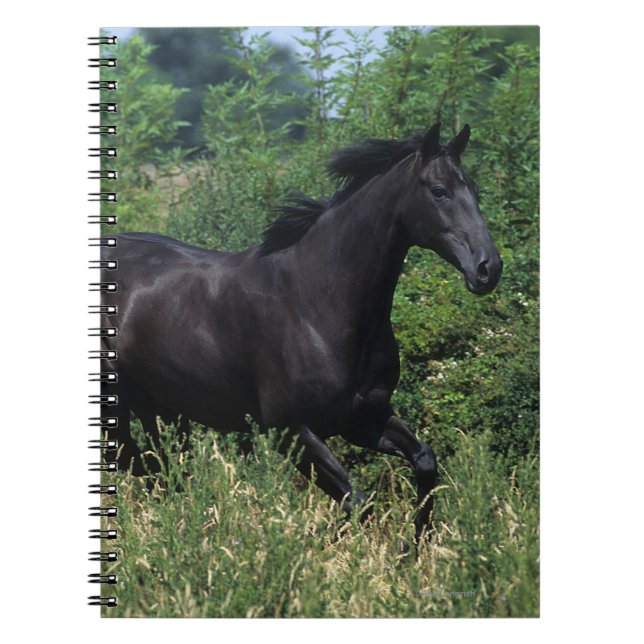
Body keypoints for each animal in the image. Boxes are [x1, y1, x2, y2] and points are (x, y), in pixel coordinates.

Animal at [100, 122, 502, 542]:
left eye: (474, 188)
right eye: (439, 191)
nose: (488, 268)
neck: (313, 301)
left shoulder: (364, 418)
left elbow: (424, 463)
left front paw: (414, 548)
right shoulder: (291, 432)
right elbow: (358, 502)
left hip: (161, 407)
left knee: (161, 470)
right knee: (137, 464)